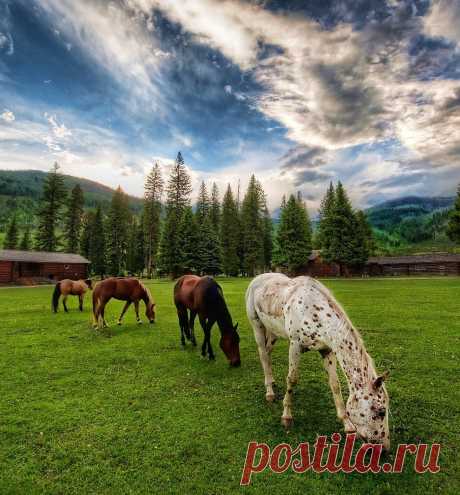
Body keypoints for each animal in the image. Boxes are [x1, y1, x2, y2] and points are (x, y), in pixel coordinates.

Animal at [246, 274, 390, 452]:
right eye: (381, 412)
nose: (384, 448)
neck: (314, 311)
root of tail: (257, 278)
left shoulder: (327, 350)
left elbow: (335, 384)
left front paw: (347, 424)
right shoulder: (295, 345)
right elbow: (292, 379)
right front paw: (286, 417)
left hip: (273, 332)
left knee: (267, 352)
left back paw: (272, 382)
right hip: (257, 325)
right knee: (263, 355)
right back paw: (270, 393)